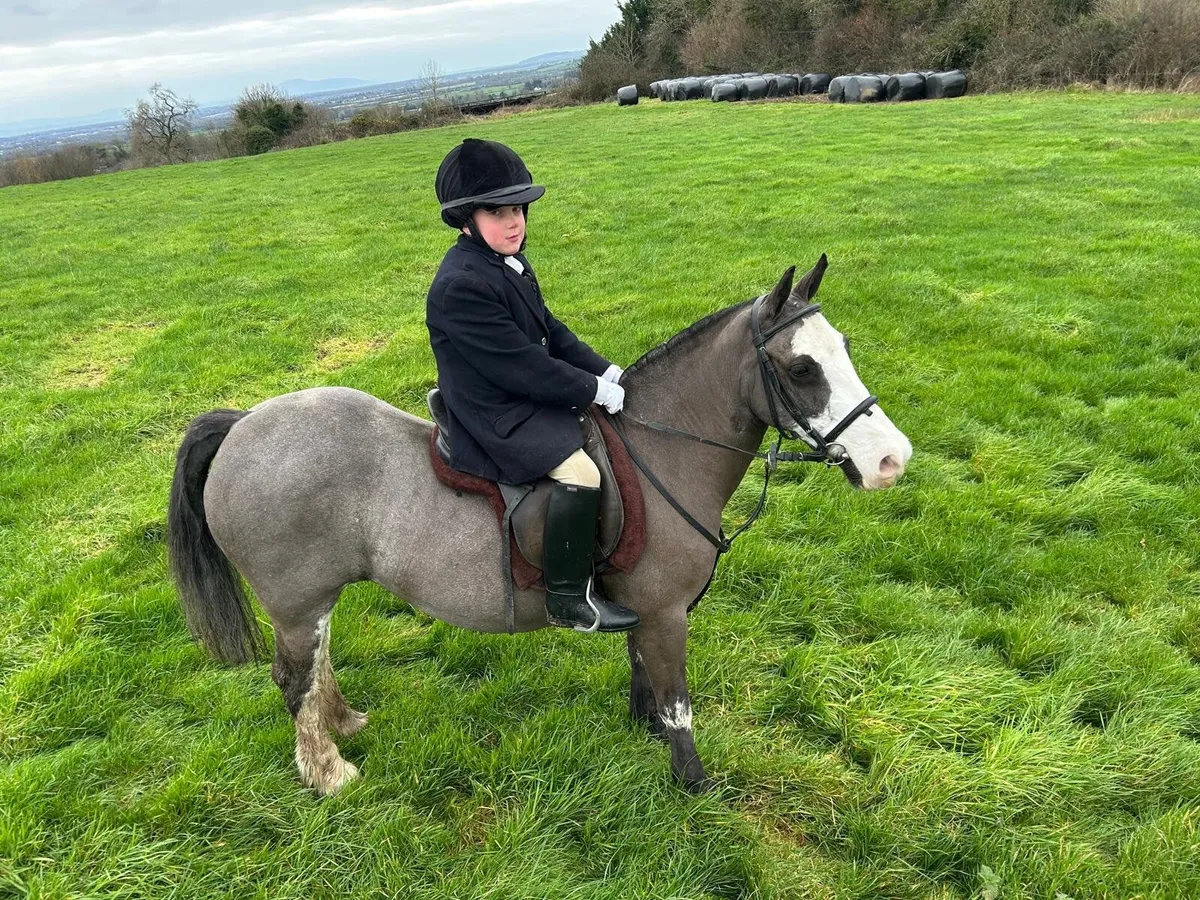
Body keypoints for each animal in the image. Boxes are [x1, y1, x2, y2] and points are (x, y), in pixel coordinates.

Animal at [167, 256, 912, 796]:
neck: (664, 448)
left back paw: (344, 723)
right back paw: (328, 774)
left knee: (316, 666)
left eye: (843, 347)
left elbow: (642, 673)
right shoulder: (668, 612)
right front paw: (693, 786)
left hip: (315, 600)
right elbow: (677, 700)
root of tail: (242, 426)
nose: (891, 460)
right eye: (801, 367)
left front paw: (643, 735)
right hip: (297, 601)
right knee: (292, 678)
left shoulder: (641, 611)